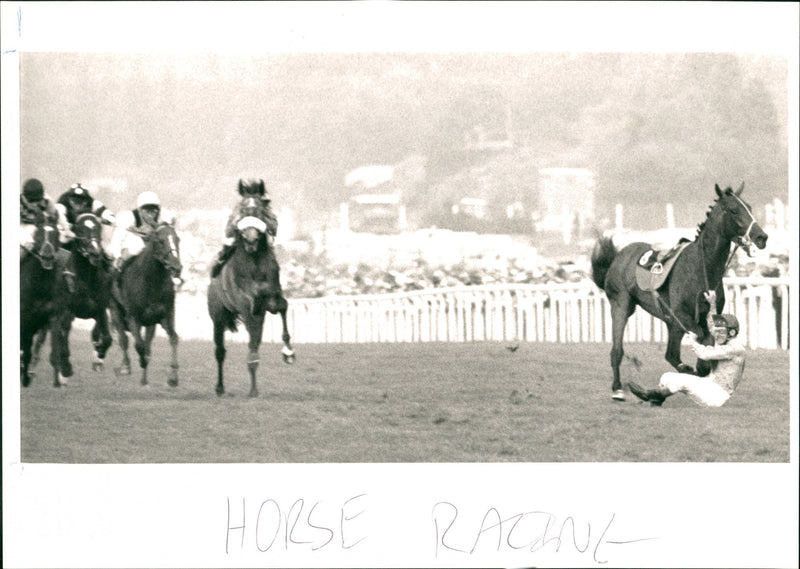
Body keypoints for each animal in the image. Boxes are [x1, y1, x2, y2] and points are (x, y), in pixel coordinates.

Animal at [30, 213, 114, 386]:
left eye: (98, 228)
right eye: (80, 229)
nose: (95, 252)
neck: (86, 280)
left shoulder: (100, 309)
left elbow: (107, 338)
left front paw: (99, 353)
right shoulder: (66, 311)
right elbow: (62, 339)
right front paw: (65, 369)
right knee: (44, 339)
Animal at [109, 222, 183, 386]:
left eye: (177, 239)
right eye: (160, 241)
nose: (176, 267)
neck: (151, 282)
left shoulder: (165, 315)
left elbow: (173, 338)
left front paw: (173, 377)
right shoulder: (133, 317)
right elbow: (139, 345)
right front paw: (141, 361)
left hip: (150, 323)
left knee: (146, 343)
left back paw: (144, 378)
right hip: (115, 310)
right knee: (123, 339)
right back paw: (125, 366)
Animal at [208, 194, 296, 394]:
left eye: (260, 212)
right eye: (242, 211)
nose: (250, 240)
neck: (255, 265)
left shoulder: (271, 300)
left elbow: (283, 307)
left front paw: (288, 352)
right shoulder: (248, 307)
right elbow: (252, 337)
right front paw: (253, 387)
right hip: (218, 317)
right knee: (220, 351)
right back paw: (220, 387)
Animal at [588, 184, 768, 402]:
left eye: (749, 207)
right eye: (733, 210)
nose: (762, 237)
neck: (702, 268)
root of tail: (620, 255)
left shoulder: (701, 318)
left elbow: (703, 351)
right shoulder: (681, 317)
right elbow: (695, 347)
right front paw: (693, 370)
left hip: (667, 321)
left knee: (671, 353)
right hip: (621, 306)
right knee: (617, 350)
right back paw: (617, 389)